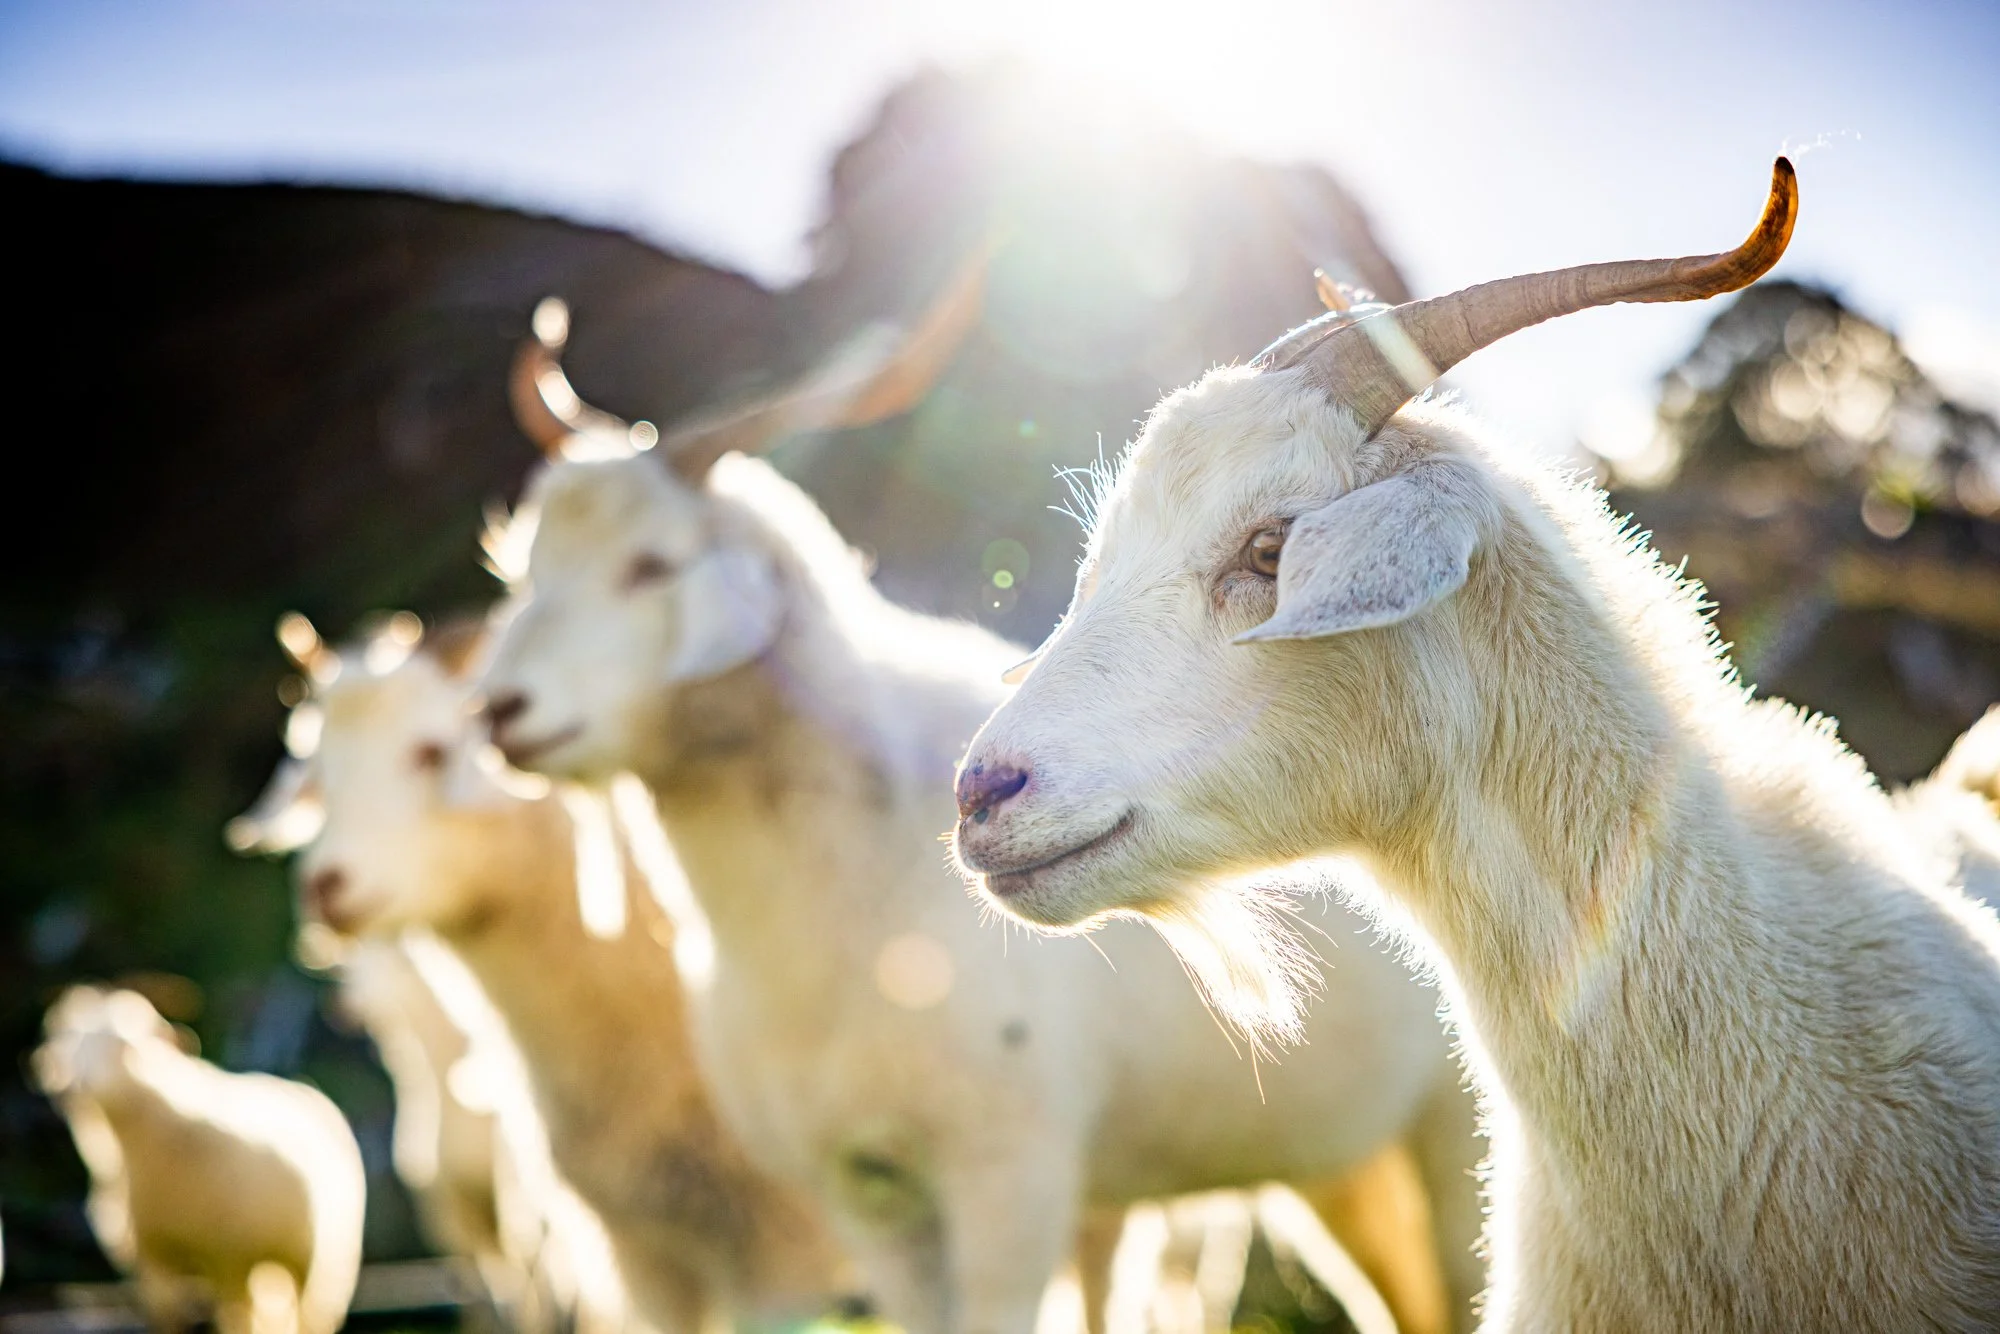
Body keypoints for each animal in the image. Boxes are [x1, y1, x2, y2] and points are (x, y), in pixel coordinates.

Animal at [33, 986, 366, 1334]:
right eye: (69, 1044)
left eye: (124, 1046)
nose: (70, 1088)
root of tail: (303, 1087)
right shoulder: (152, 1256)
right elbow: (167, 1316)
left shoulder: (228, 1255)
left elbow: (234, 1319)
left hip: (316, 1264)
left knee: (302, 1316)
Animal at [476, 271, 1486, 1334]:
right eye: (527, 571)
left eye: (652, 565)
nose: (498, 710)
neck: (847, 884)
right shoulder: (866, 1195)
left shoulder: (1009, 1176)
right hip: (1350, 1170)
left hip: (1452, 1141)